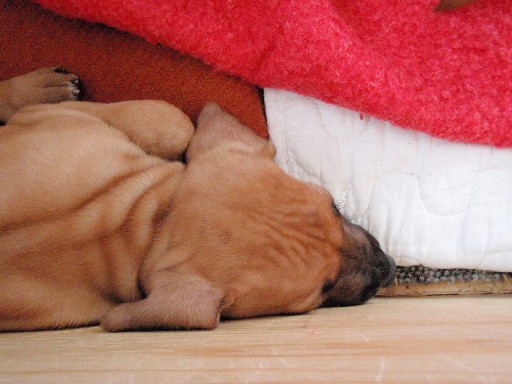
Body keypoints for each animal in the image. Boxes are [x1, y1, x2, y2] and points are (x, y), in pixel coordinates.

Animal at [0, 67, 396, 332]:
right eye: (323, 290)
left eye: (335, 207)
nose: (390, 267)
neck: (143, 224)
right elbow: (171, 119)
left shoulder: (53, 120)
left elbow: (172, 120)